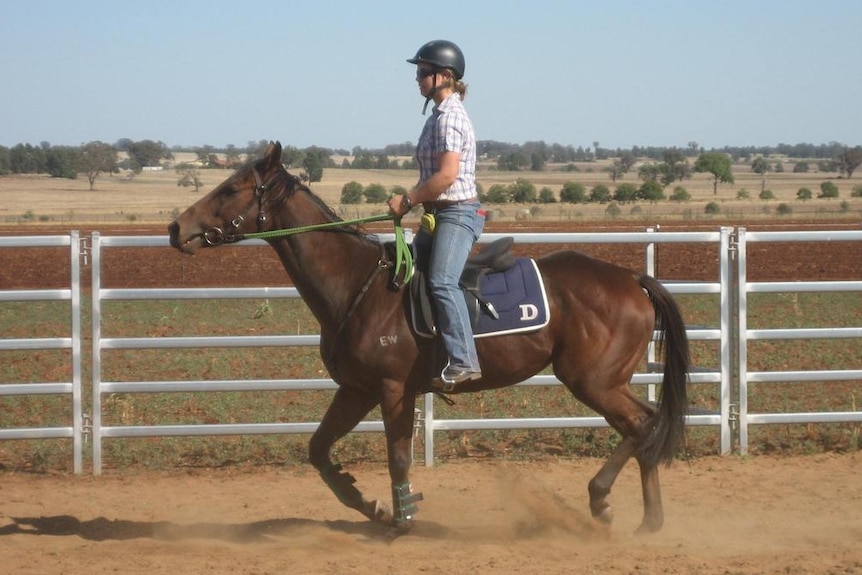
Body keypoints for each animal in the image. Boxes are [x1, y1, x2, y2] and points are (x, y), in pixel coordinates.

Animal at [169, 143, 692, 536]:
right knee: (645, 425)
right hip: (603, 381)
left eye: (232, 188)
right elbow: (319, 450)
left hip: (593, 380)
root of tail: (630, 278)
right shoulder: (356, 389)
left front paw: (402, 517)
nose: (177, 227)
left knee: (642, 426)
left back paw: (602, 501)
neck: (359, 285)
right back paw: (649, 521)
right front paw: (373, 505)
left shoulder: (393, 389)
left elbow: (398, 458)